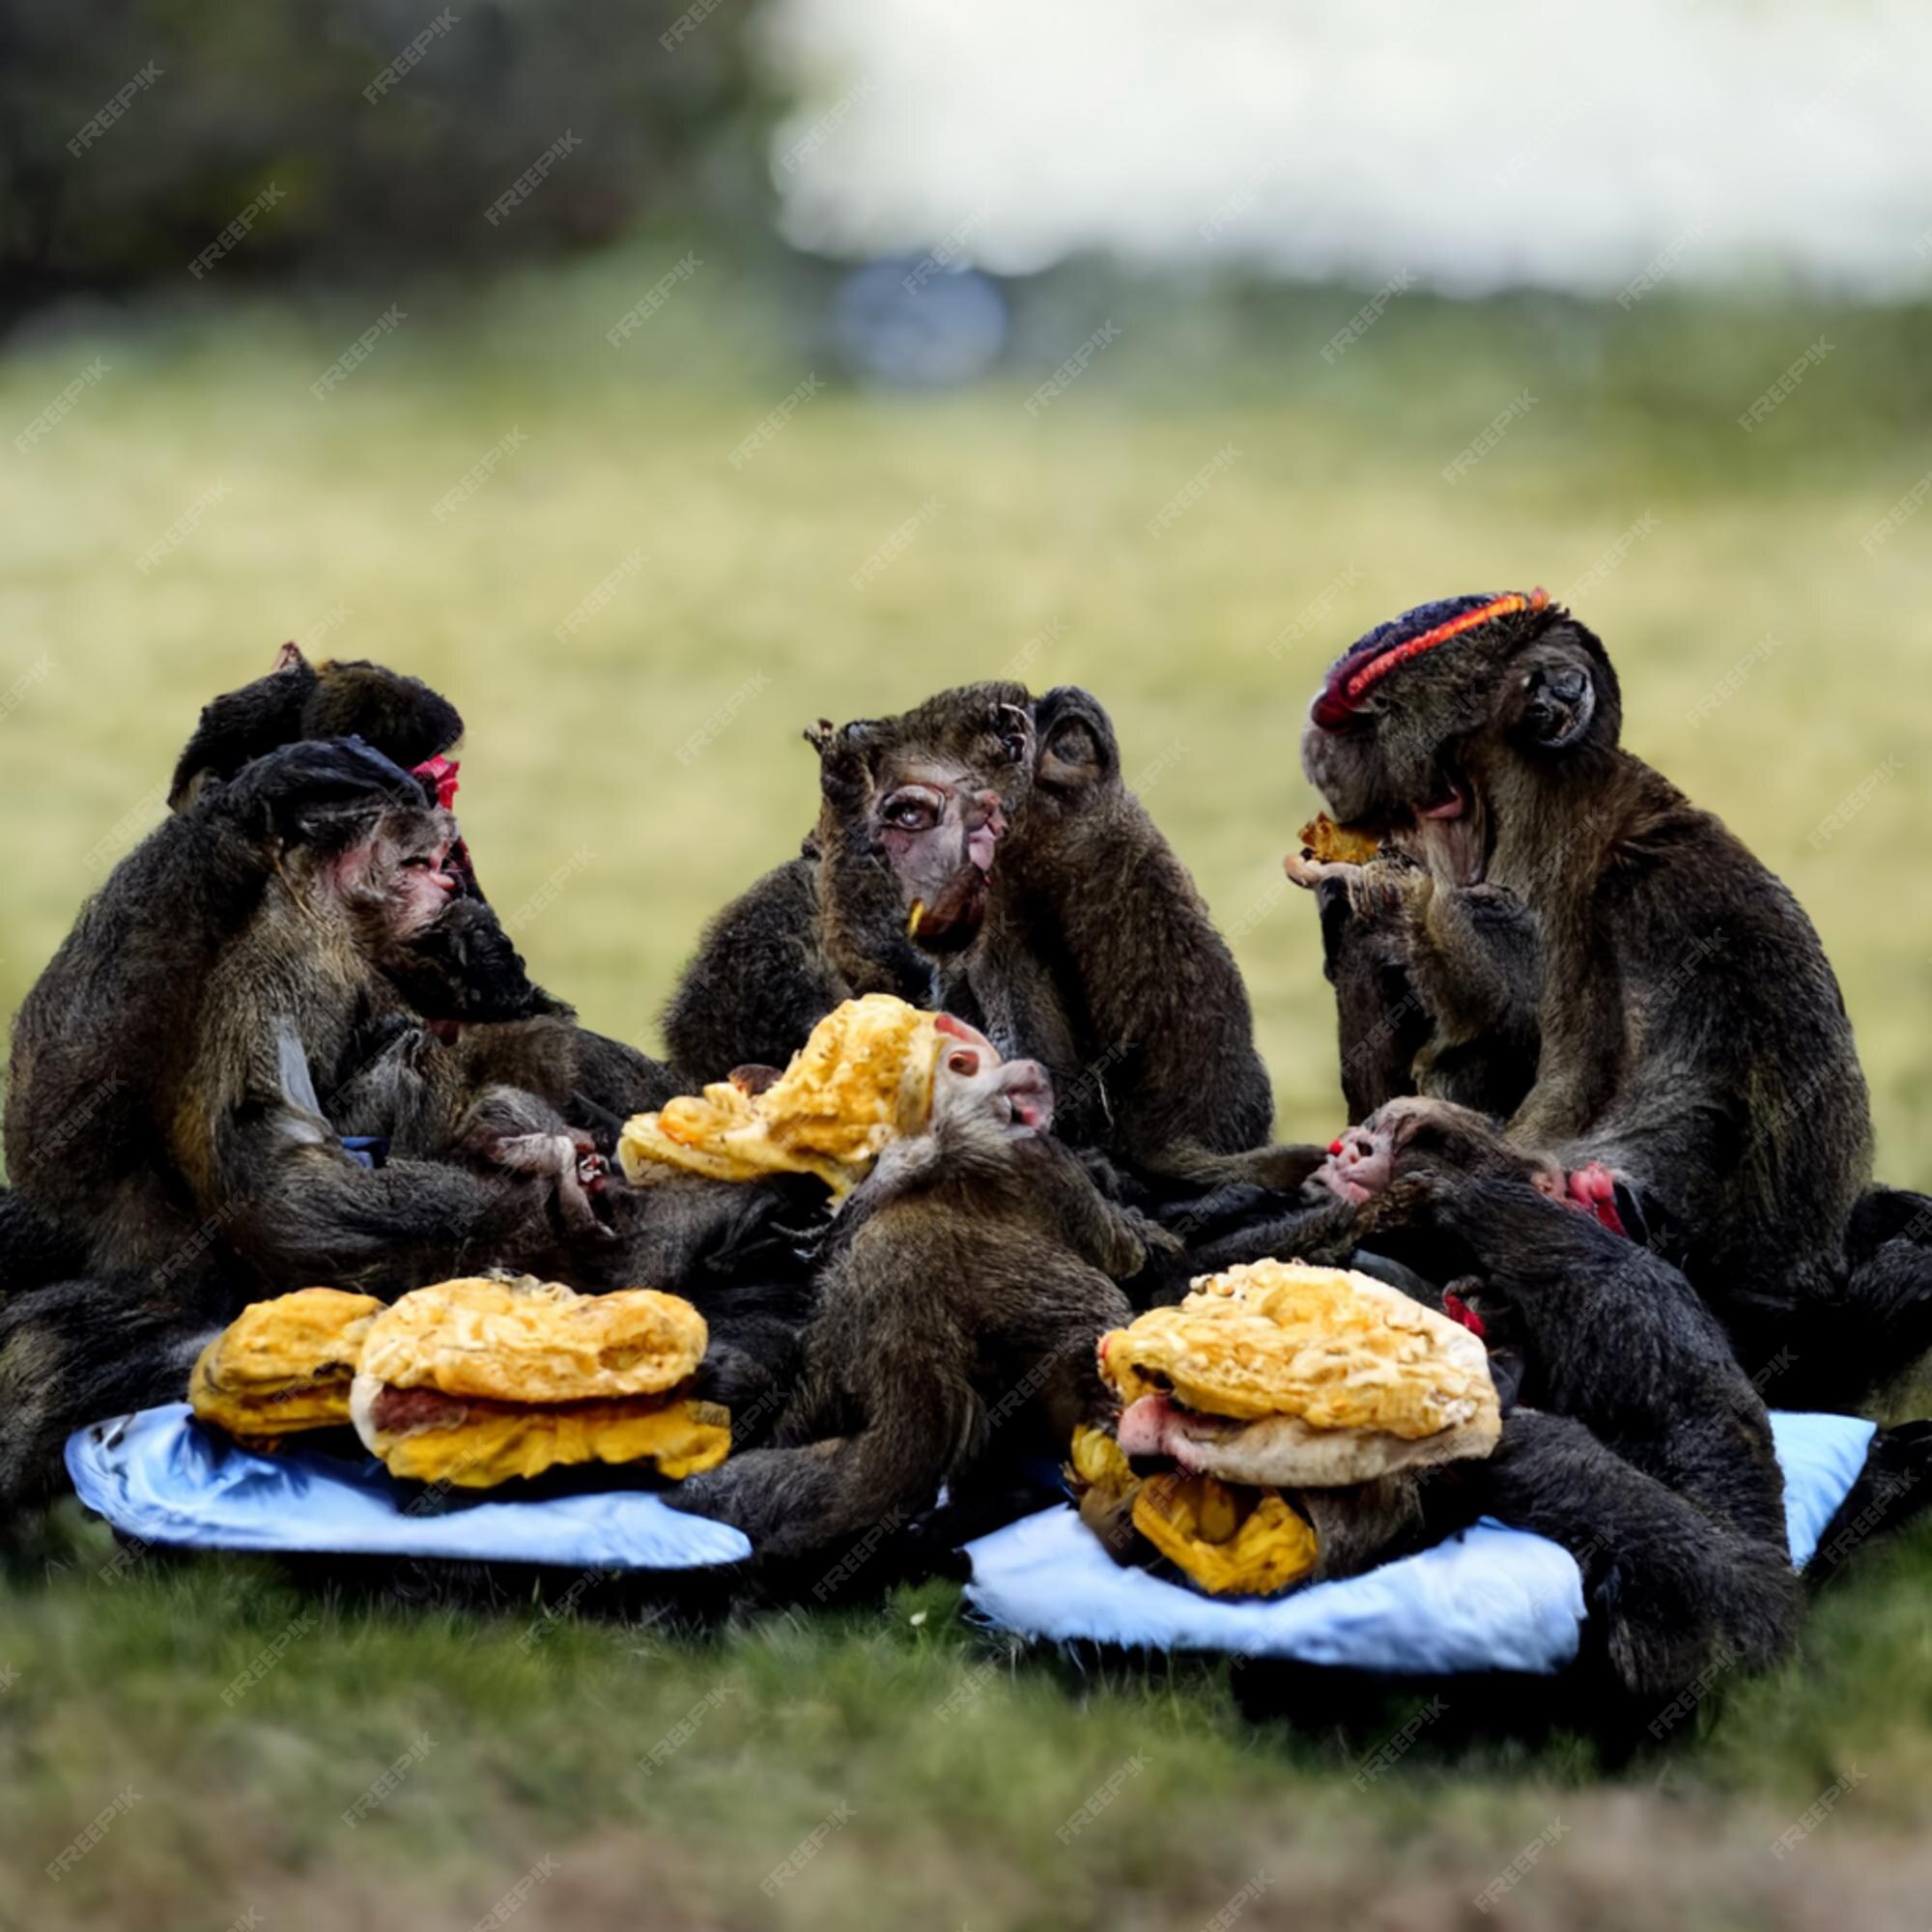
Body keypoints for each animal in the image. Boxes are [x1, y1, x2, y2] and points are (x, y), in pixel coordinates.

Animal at [0, 738, 614, 1507]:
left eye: (441, 861)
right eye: (413, 855)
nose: (447, 875)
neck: (339, 925)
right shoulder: (272, 963)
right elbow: (286, 1188)